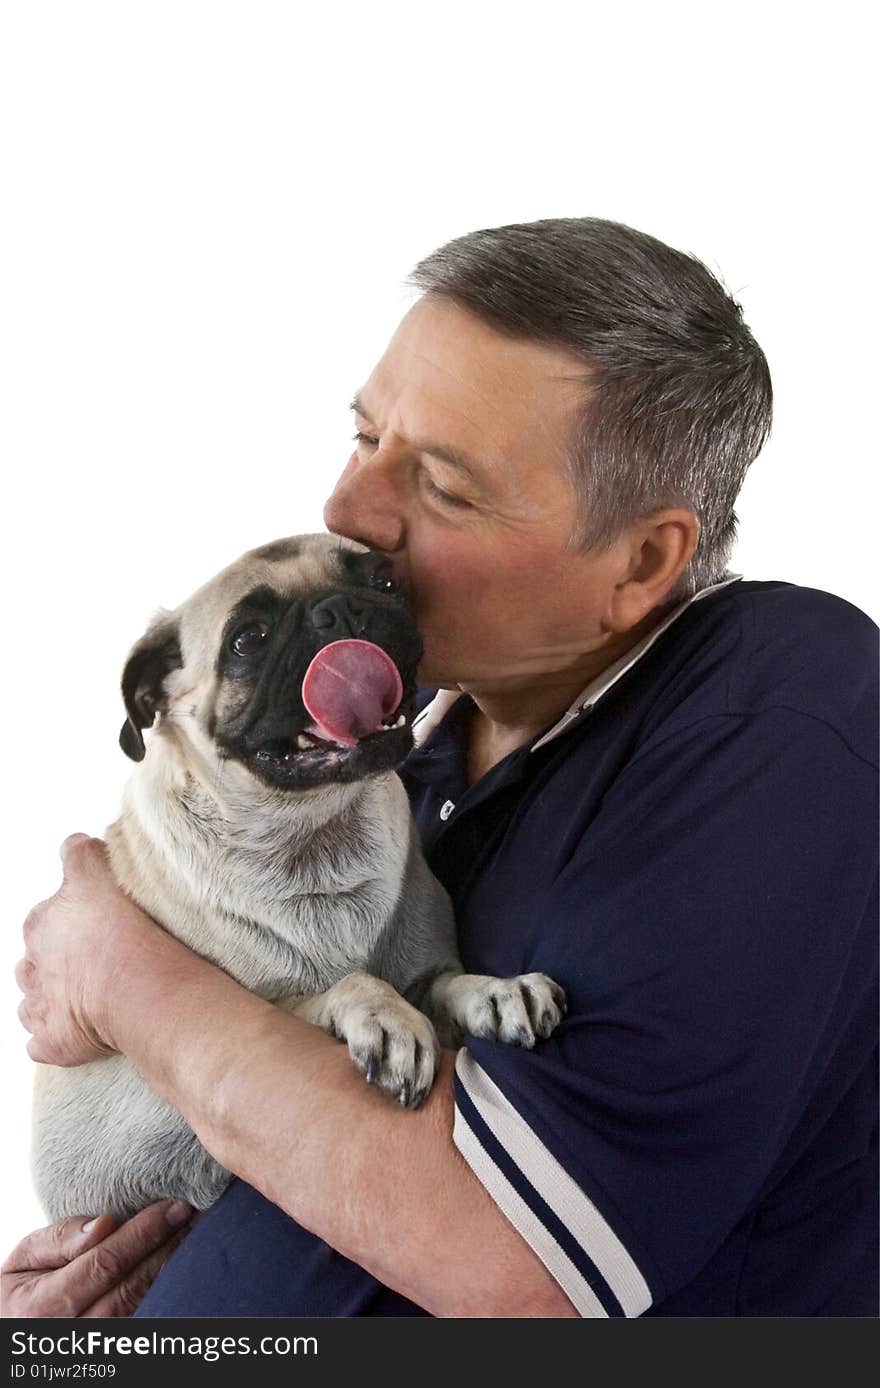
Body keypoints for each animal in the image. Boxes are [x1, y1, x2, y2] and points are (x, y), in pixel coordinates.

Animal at [32, 535, 560, 1221]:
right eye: (248, 639)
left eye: (385, 582)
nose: (341, 610)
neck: (313, 832)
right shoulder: (259, 1020)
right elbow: (346, 987)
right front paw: (384, 1016)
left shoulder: (425, 974)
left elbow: (447, 985)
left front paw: (497, 992)